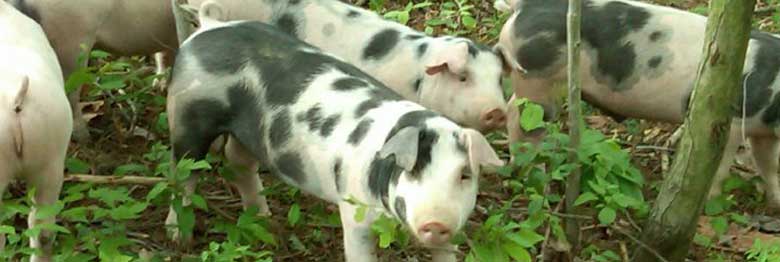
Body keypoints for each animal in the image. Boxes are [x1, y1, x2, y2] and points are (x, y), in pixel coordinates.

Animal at [494, 0, 780, 208]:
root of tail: (525, 6)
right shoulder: (733, 122)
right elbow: (720, 167)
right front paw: (710, 204)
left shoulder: (764, 134)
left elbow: (770, 165)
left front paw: (775, 204)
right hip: (536, 79)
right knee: (523, 119)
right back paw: (532, 176)